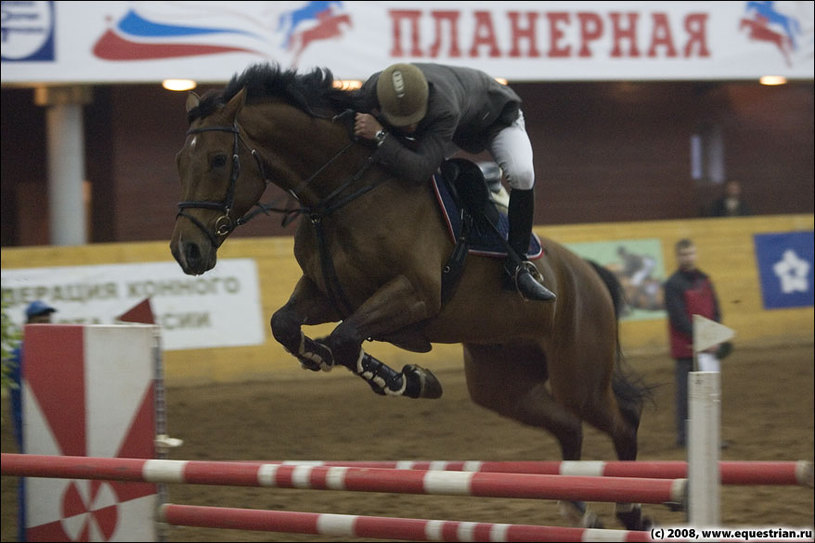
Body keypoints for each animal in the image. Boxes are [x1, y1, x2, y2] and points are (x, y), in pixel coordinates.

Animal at [169, 62, 652, 528]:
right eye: (179, 161)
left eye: (217, 159)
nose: (185, 250)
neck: (343, 193)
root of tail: (586, 271)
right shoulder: (328, 293)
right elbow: (286, 324)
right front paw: (328, 358)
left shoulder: (415, 293)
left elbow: (346, 338)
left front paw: (402, 378)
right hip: (502, 382)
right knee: (569, 427)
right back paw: (578, 508)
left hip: (578, 375)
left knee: (622, 422)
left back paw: (631, 508)